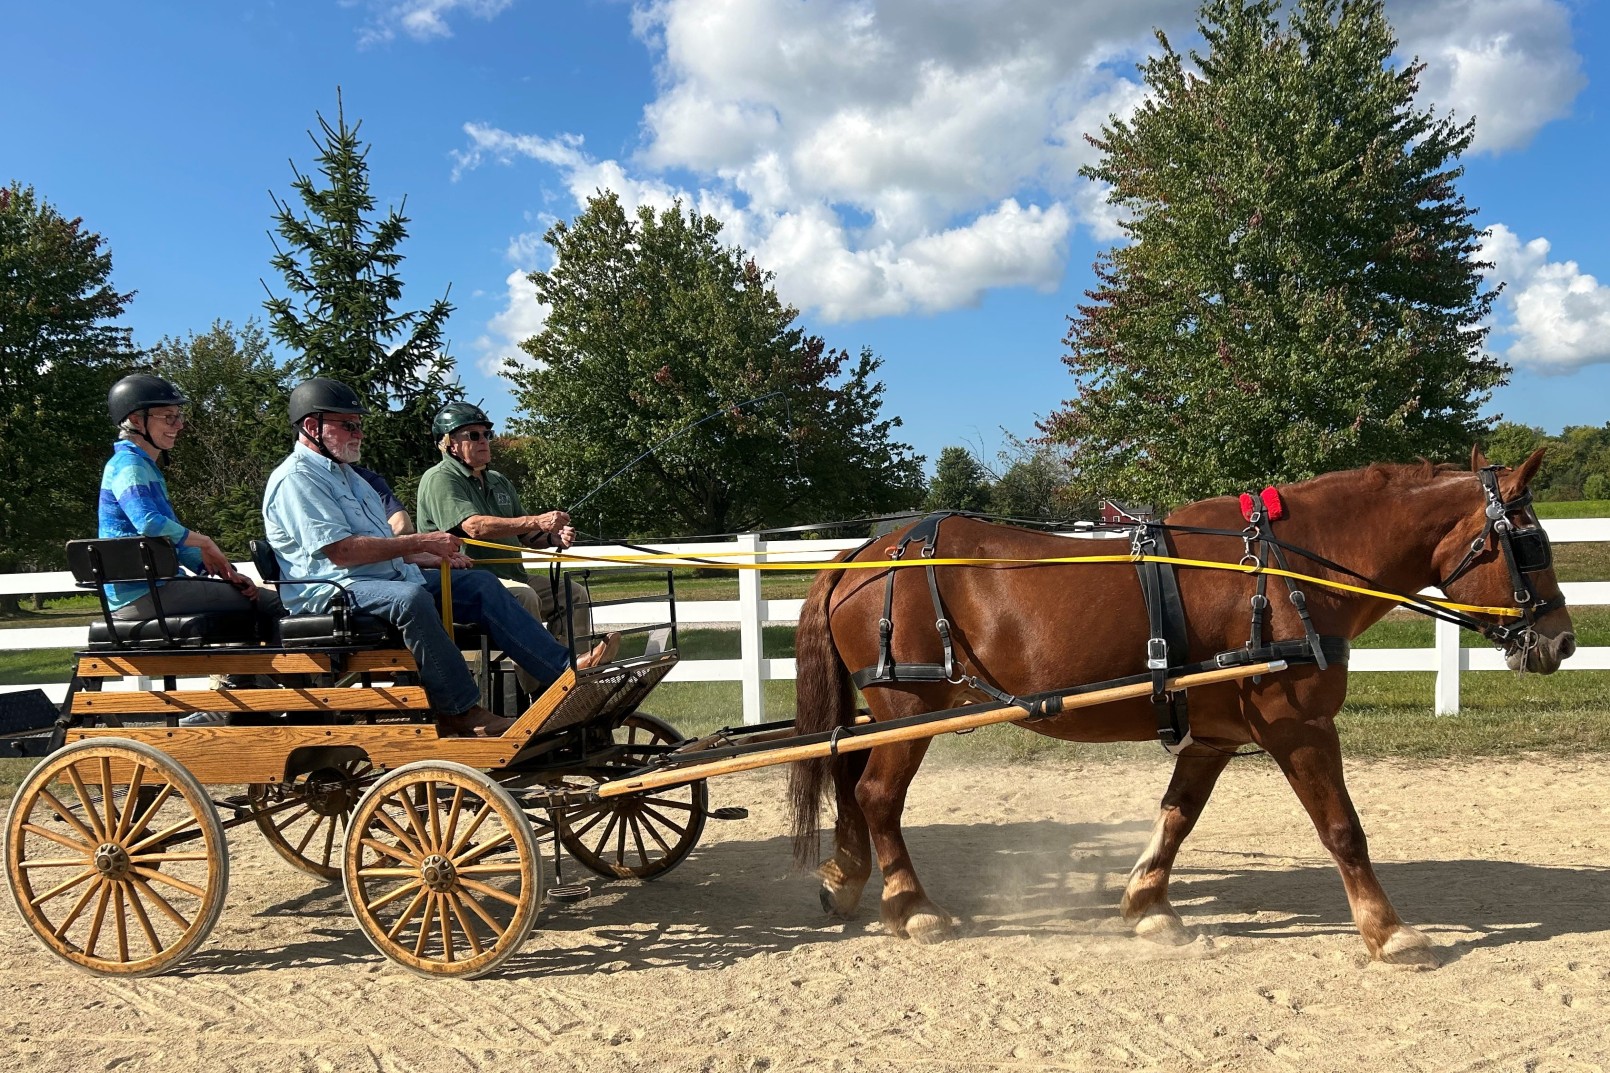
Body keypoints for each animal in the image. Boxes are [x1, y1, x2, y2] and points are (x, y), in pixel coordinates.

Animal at [788, 447, 1571, 966]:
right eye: (1531, 542)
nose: (1561, 639)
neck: (1285, 570)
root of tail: (867, 552)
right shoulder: (1299, 727)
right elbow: (1342, 828)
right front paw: (1387, 929)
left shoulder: (1215, 735)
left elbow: (1177, 816)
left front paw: (1147, 904)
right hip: (906, 707)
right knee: (879, 795)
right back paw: (910, 906)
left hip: (892, 712)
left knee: (852, 781)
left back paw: (846, 877)